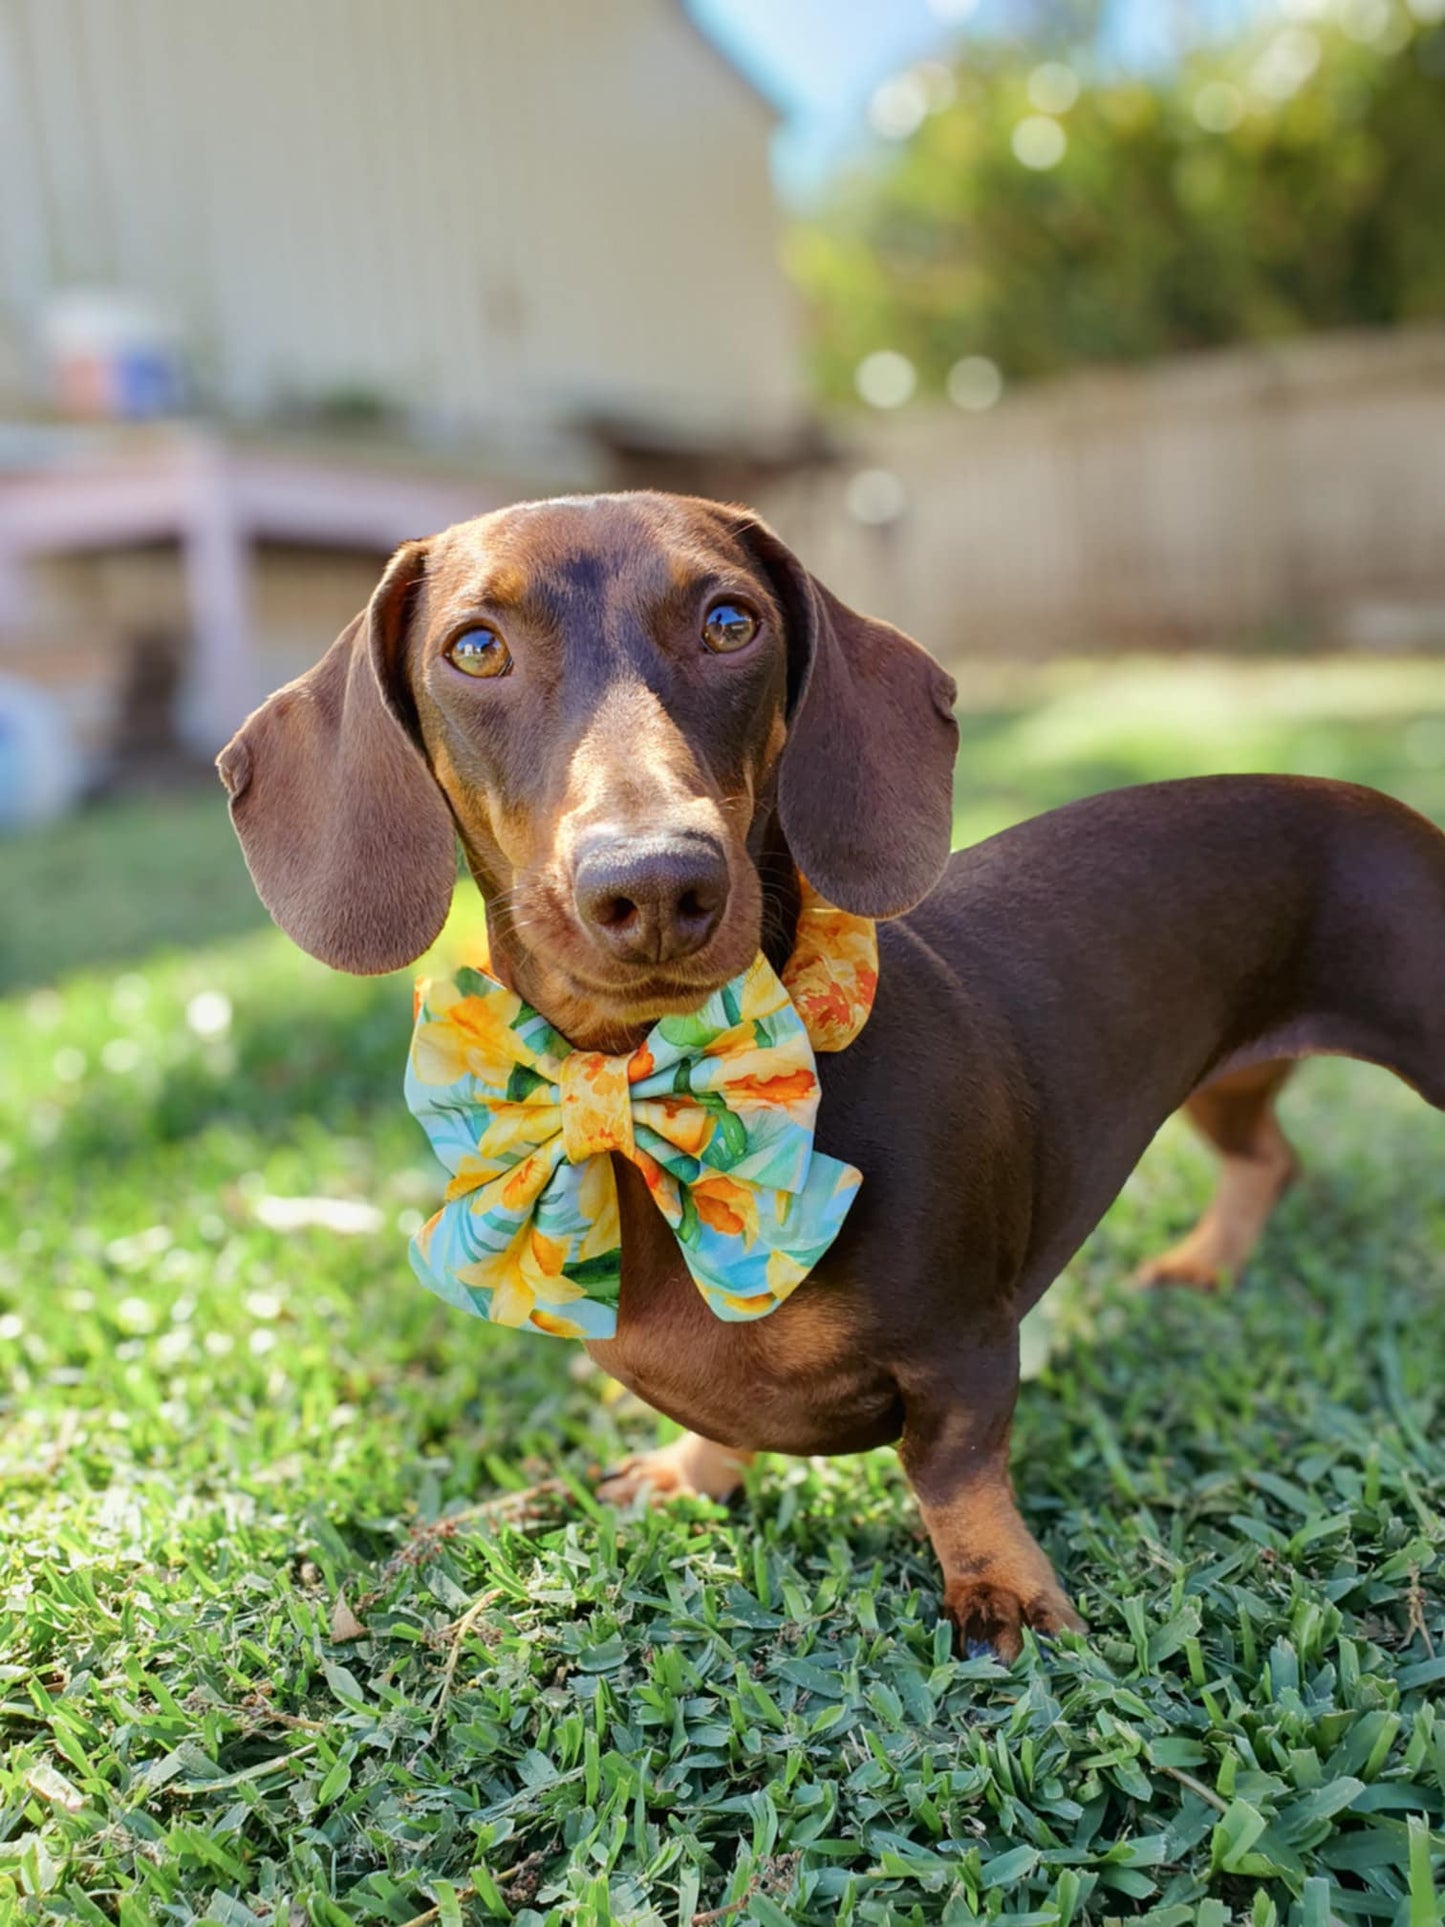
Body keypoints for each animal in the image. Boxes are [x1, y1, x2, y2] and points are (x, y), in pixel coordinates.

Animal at [217, 493, 1445, 1657]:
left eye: (730, 622)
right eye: (474, 647)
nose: (654, 882)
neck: (649, 1082)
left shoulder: (962, 1347)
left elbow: (952, 1468)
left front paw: (1000, 1589)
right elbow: (726, 1417)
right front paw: (689, 1473)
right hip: (1225, 1078)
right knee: (1268, 1157)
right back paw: (1204, 1262)